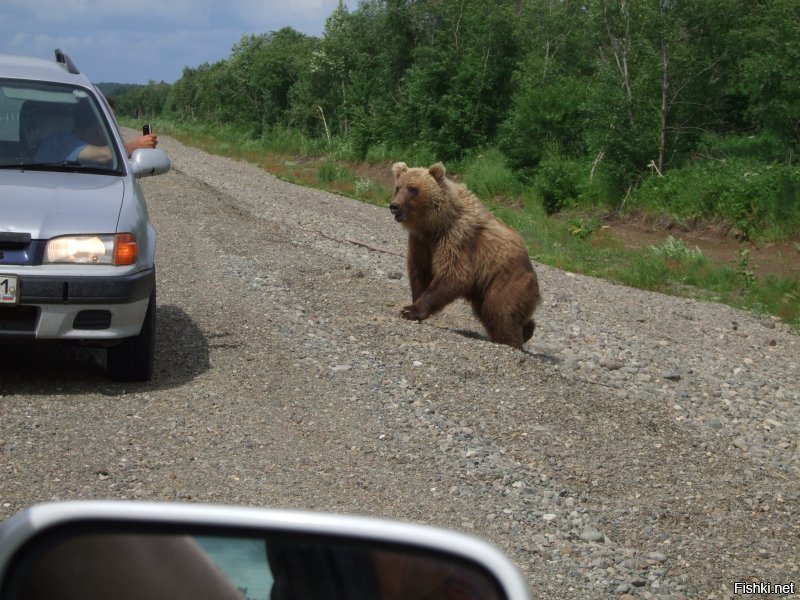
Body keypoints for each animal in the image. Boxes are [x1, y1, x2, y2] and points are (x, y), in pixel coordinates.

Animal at [390, 162, 540, 350]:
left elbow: (455, 275)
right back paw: (527, 330)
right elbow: (419, 271)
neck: (433, 225)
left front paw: (410, 310)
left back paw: (511, 342)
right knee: (489, 311)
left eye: (413, 189)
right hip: (484, 289)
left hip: (509, 279)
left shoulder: (455, 239)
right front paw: (413, 304)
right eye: (398, 187)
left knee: (499, 310)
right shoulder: (421, 243)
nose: (394, 206)